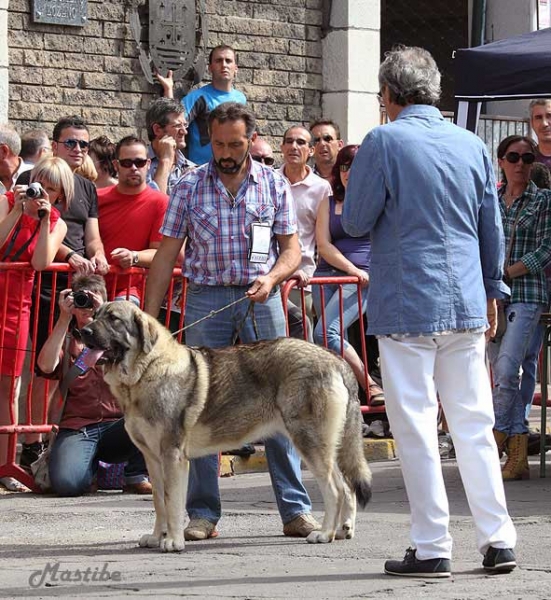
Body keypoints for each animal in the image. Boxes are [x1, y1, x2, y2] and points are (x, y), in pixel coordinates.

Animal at [81, 300, 376, 552]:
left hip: (310, 444)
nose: (82, 330)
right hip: (326, 446)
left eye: (113, 319)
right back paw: (343, 529)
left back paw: (324, 534)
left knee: (336, 489)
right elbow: (159, 502)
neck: (146, 371)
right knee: (348, 487)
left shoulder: (173, 457)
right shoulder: (152, 459)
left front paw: (173, 541)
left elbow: (173, 503)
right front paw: (156, 537)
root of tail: (335, 359)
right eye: (95, 315)